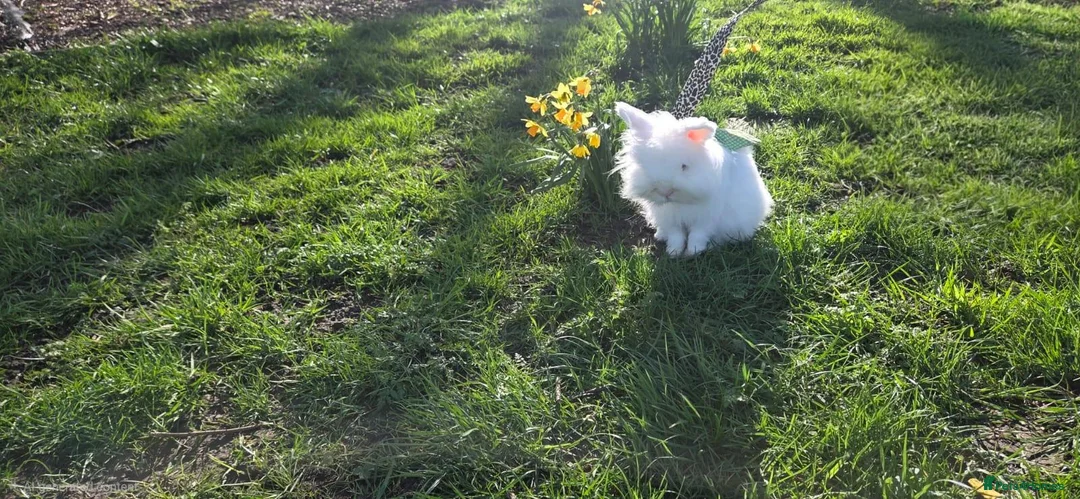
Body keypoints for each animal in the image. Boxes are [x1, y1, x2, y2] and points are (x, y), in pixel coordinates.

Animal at [613, 101, 773, 257]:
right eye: (646, 165)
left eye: (684, 166)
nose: (665, 191)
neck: (680, 202)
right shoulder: (670, 218)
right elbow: (676, 235)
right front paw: (674, 252)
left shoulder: (707, 218)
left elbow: (698, 235)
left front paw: (694, 251)